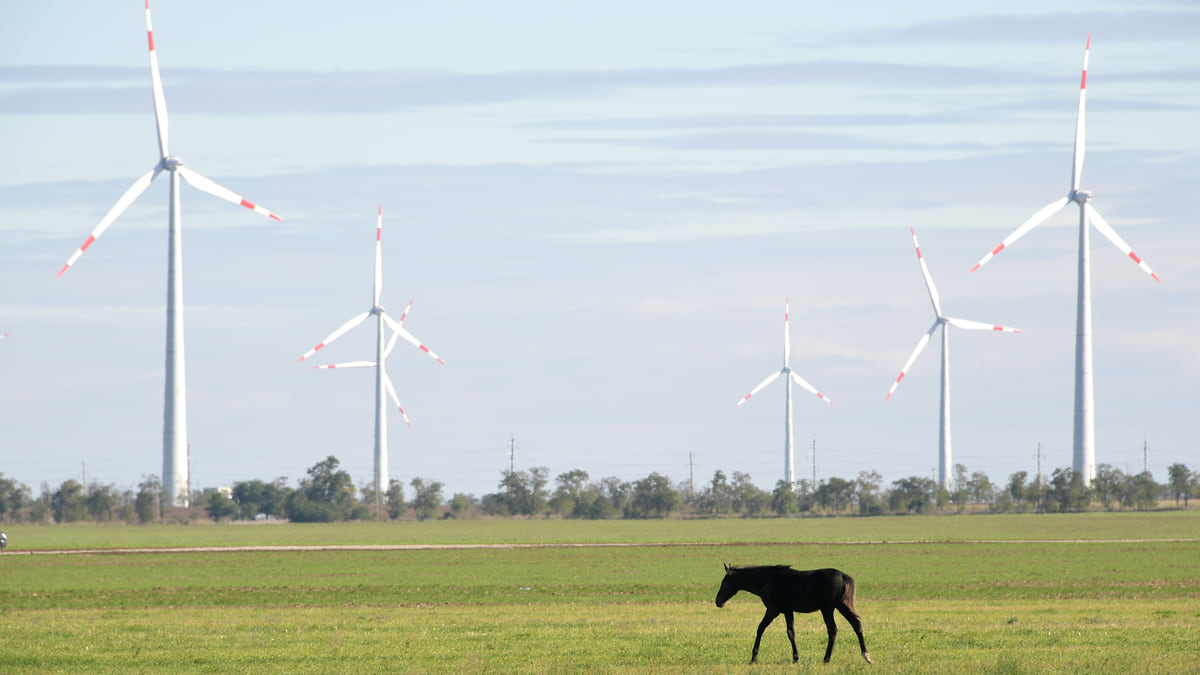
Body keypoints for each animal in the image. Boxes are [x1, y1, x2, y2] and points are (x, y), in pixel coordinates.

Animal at [710, 562, 873, 662]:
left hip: (828, 609)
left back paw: (826, 659)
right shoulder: (787, 611)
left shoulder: (773, 610)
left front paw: (754, 658)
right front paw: (795, 657)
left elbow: (760, 628)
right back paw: (866, 656)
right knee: (857, 625)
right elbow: (791, 632)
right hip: (841, 606)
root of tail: (843, 576)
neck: (766, 580)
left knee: (833, 629)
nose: (718, 601)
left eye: (724, 583)